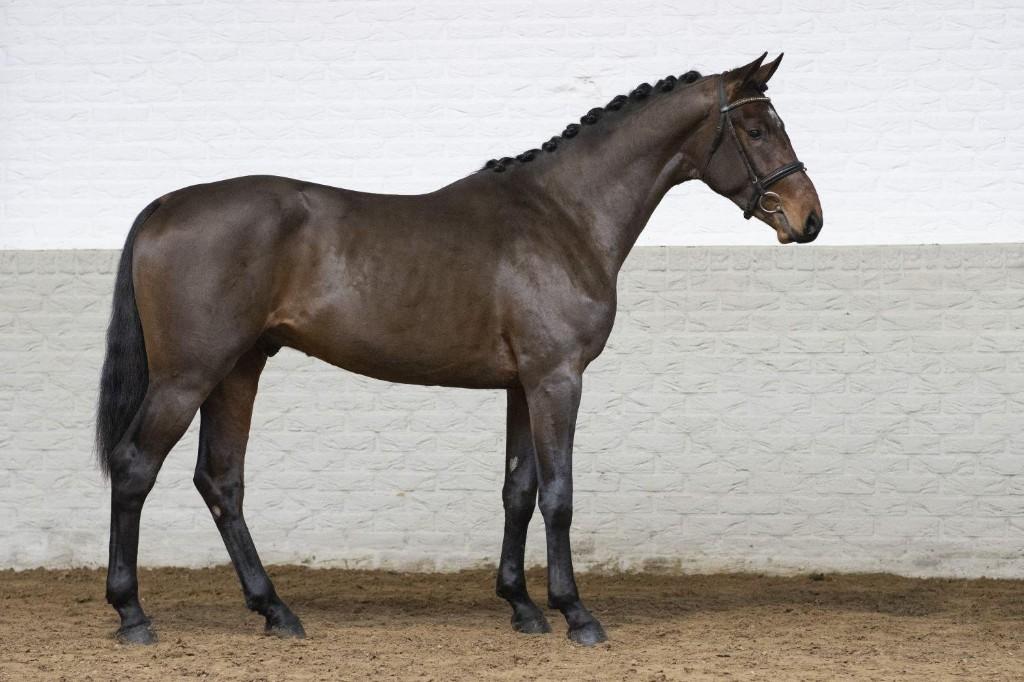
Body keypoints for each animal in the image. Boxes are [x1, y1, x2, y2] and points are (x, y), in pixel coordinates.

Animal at [95, 53, 822, 647]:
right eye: (757, 129)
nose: (808, 218)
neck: (562, 216)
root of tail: (163, 206)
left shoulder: (521, 385)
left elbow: (518, 489)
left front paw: (522, 607)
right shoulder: (557, 380)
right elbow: (558, 492)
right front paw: (575, 615)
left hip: (238, 370)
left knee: (221, 480)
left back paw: (276, 611)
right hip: (189, 376)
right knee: (135, 468)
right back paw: (132, 615)